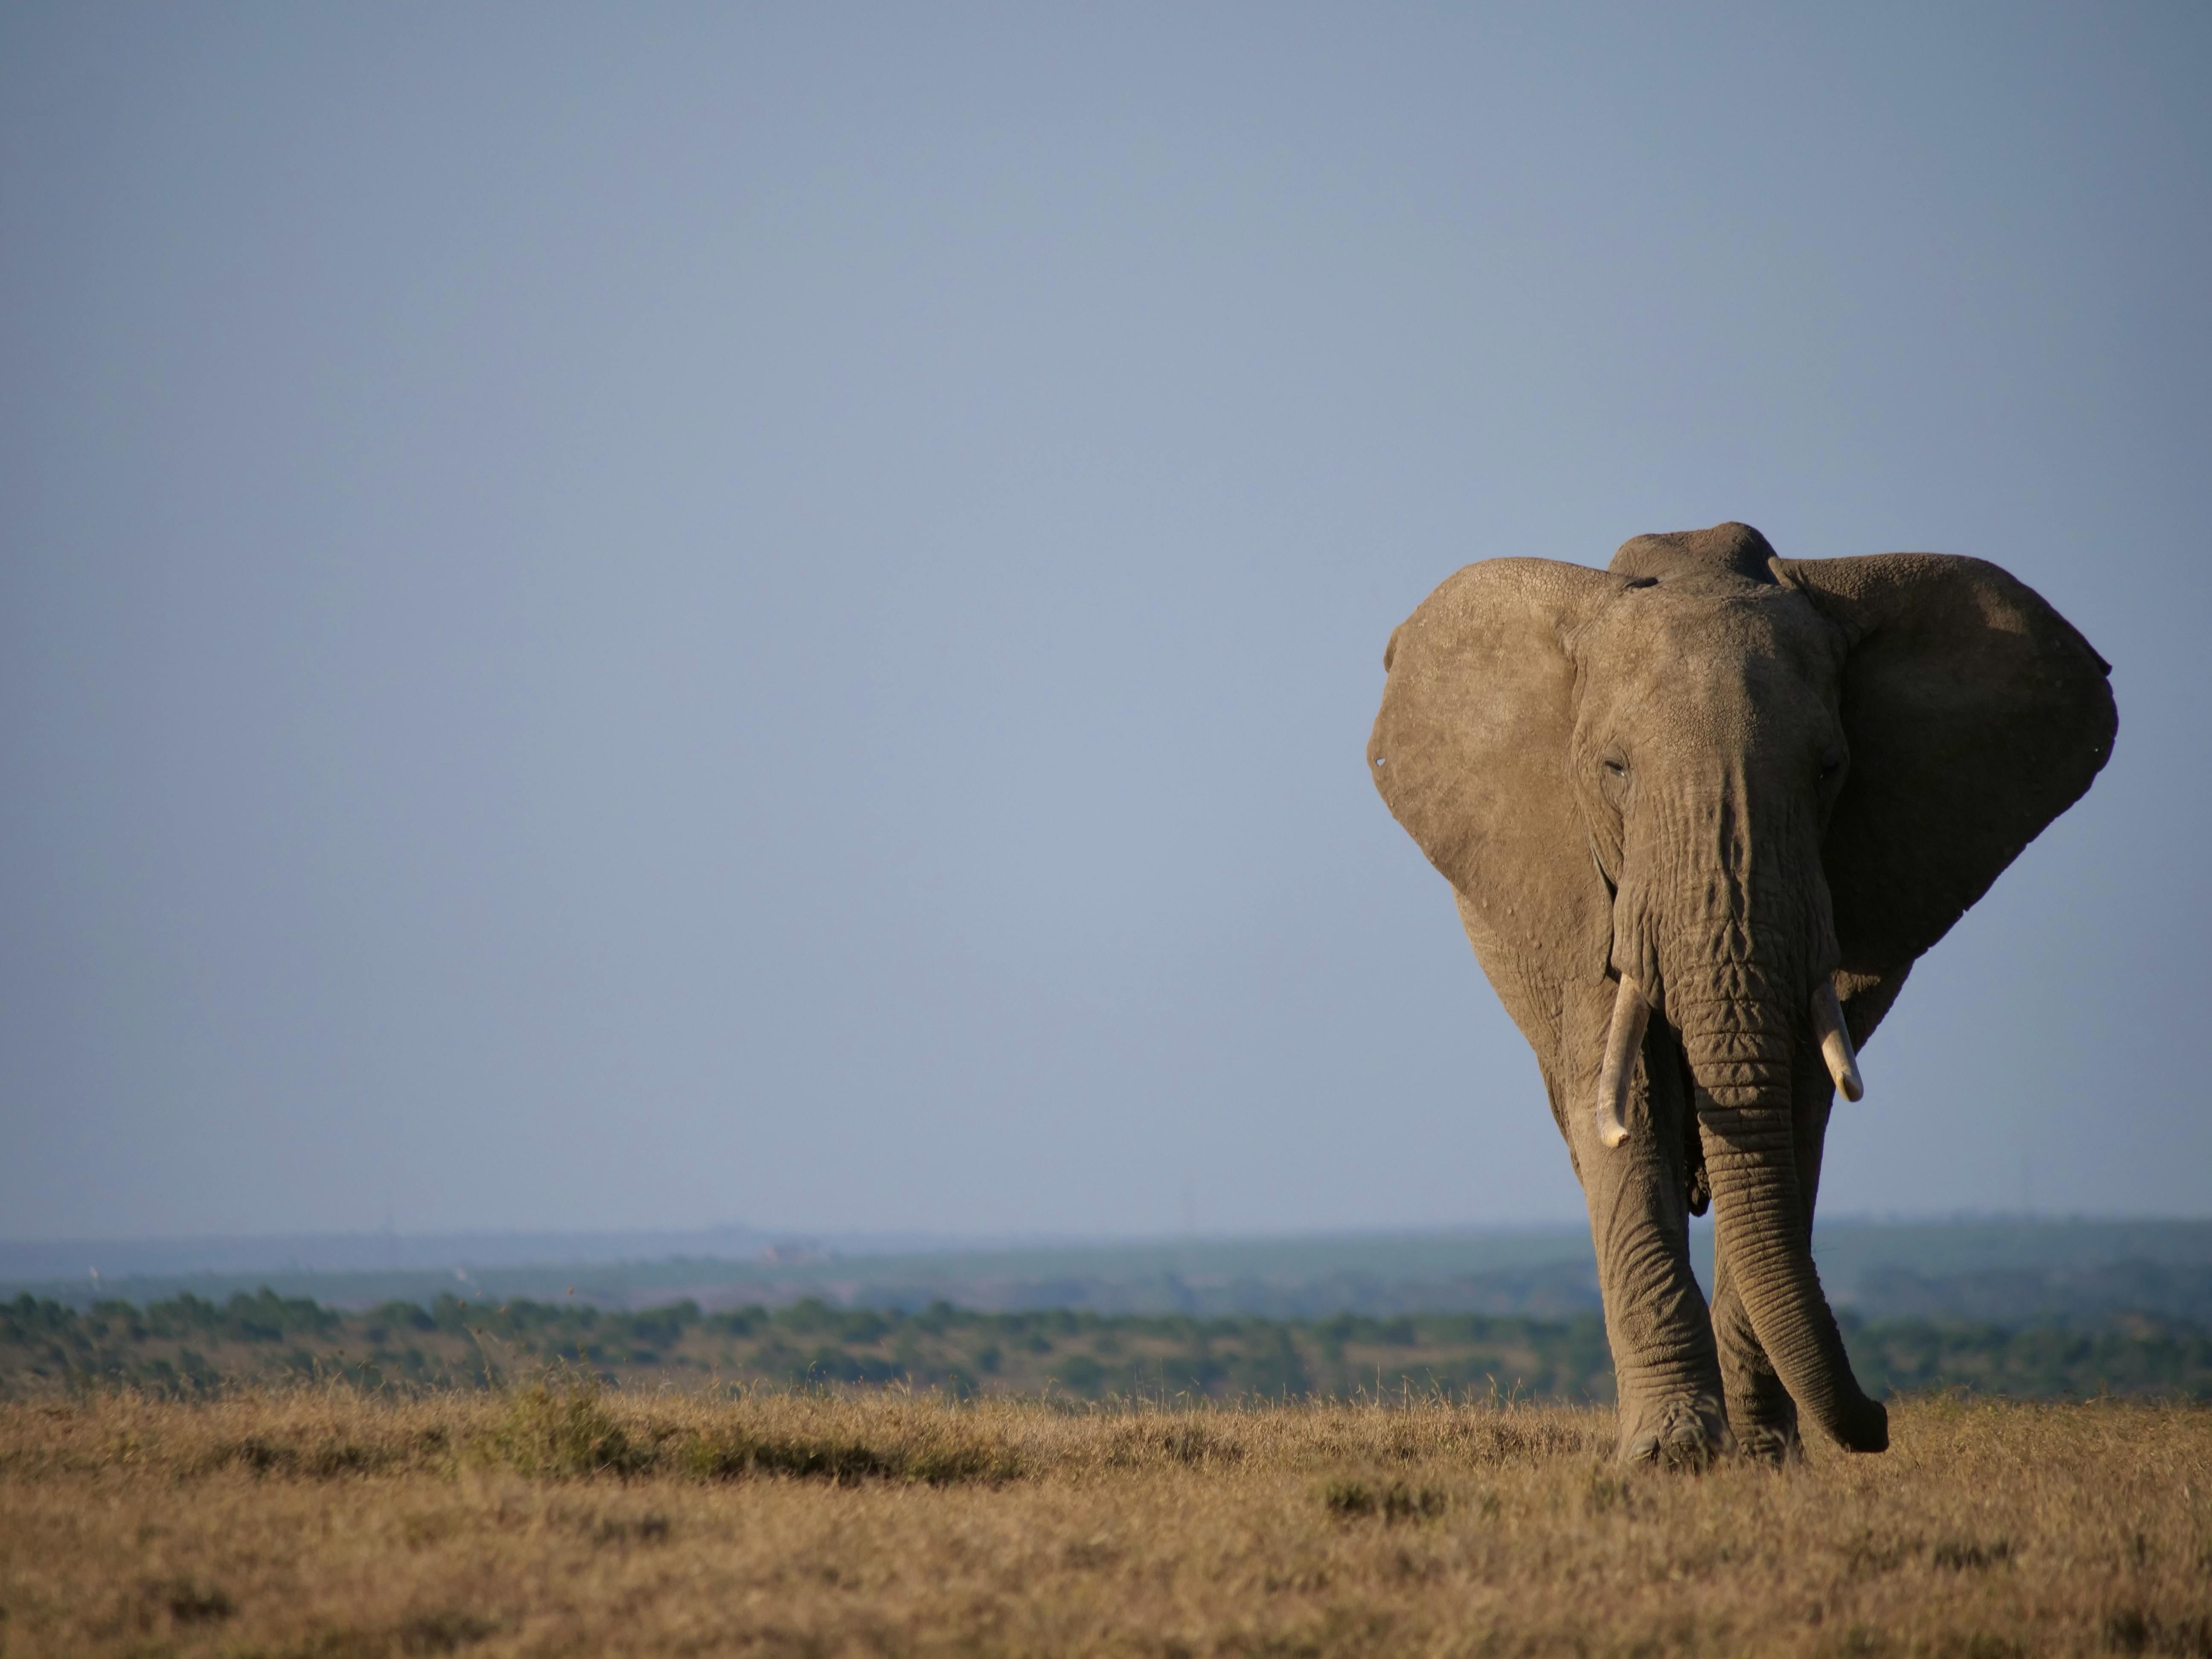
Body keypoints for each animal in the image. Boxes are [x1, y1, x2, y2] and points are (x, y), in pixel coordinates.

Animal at [1367, 522, 2114, 1465]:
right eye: (1613, 768)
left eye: (1829, 767)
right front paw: (1674, 1457)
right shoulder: (1576, 889)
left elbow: (1790, 1109)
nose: (1879, 1422)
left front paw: (1759, 1461)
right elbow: (1628, 1102)